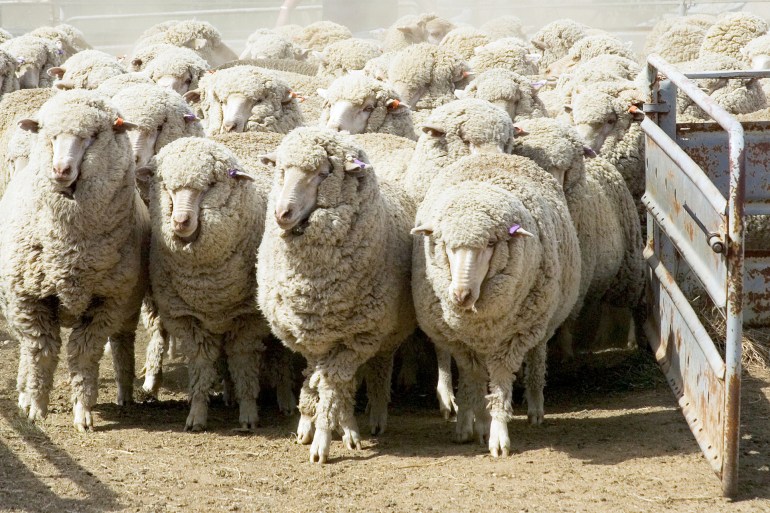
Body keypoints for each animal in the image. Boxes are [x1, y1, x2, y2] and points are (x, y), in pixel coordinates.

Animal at [0, 90, 147, 430]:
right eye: (48, 134)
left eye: (92, 136)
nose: (60, 170)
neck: (69, 249)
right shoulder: (30, 300)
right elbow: (41, 353)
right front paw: (36, 407)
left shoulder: (106, 303)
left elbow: (84, 355)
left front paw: (83, 413)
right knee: (26, 349)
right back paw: (23, 392)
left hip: (129, 306)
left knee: (122, 342)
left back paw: (125, 392)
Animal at [138, 135, 268, 428]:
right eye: (166, 186)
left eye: (209, 185)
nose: (180, 221)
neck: (209, 286)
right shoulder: (189, 319)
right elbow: (200, 365)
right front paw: (196, 415)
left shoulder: (248, 318)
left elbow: (243, 364)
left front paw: (248, 413)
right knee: (158, 334)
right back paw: (151, 383)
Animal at [256, 126, 414, 462]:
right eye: (281, 170)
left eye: (322, 173)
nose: (282, 213)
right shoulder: (312, 334)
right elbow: (317, 380)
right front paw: (313, 425)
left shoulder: (357, 338)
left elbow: (331, 388)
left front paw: (324, 441)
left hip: (383, 335)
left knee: (373, 370)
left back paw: (370, 419)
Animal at [412, 151, 580, 452]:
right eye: (446, 245)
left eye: (490, 244)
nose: (461, 295)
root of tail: (494, 153)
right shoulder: (462, 343)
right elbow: (474, 382)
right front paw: (475, 423)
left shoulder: (513, 339)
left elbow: (500, 385)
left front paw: (498, 435)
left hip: (542, 320)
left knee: (537, 357)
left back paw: (535, 407)